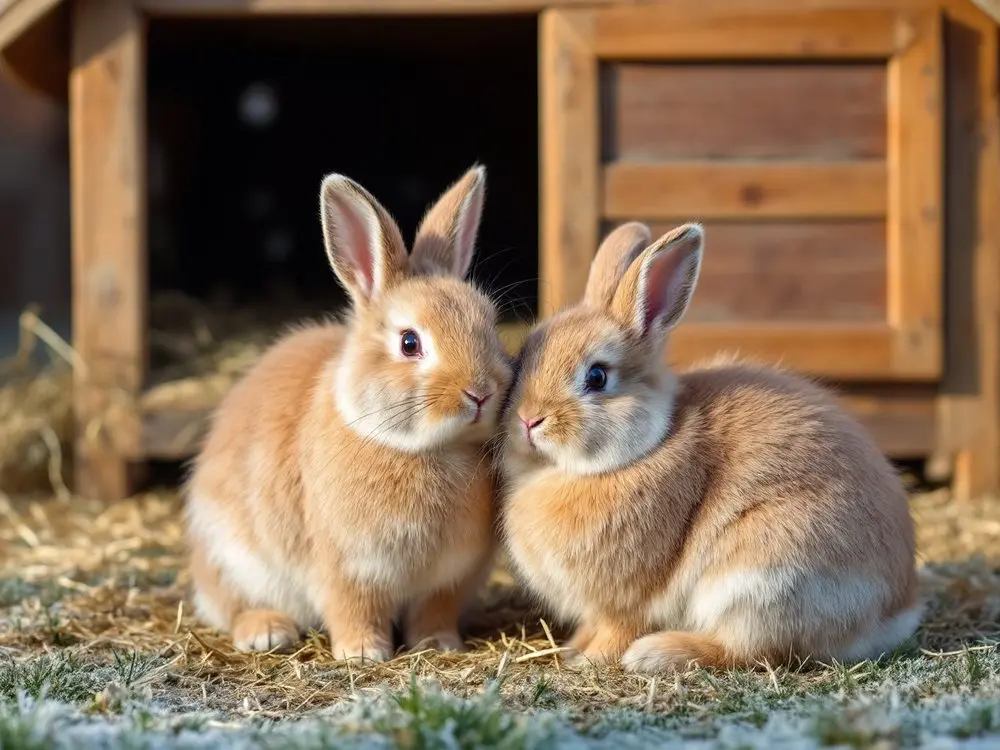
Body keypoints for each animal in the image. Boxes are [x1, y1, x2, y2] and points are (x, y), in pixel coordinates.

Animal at [184, 165, 512, 660]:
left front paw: (439, 645)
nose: (480, 393)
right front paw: (362, 653)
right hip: (231, 556)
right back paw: (267, 632)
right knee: (233, 606)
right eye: (409, 343)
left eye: (490, 326)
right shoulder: (347, 568)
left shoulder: (448, 579)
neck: (426, 450)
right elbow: (353, 609)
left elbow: (433, 612)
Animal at [498, 221, 920, 673]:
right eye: (524, 357)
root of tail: (894, 611)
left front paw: (590, 660)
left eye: (596, 377)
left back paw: (655, 653)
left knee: (751, 651)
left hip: (760, 577)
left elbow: (617, 628)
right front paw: (574, 647)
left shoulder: (626, 602)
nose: (528, 419)